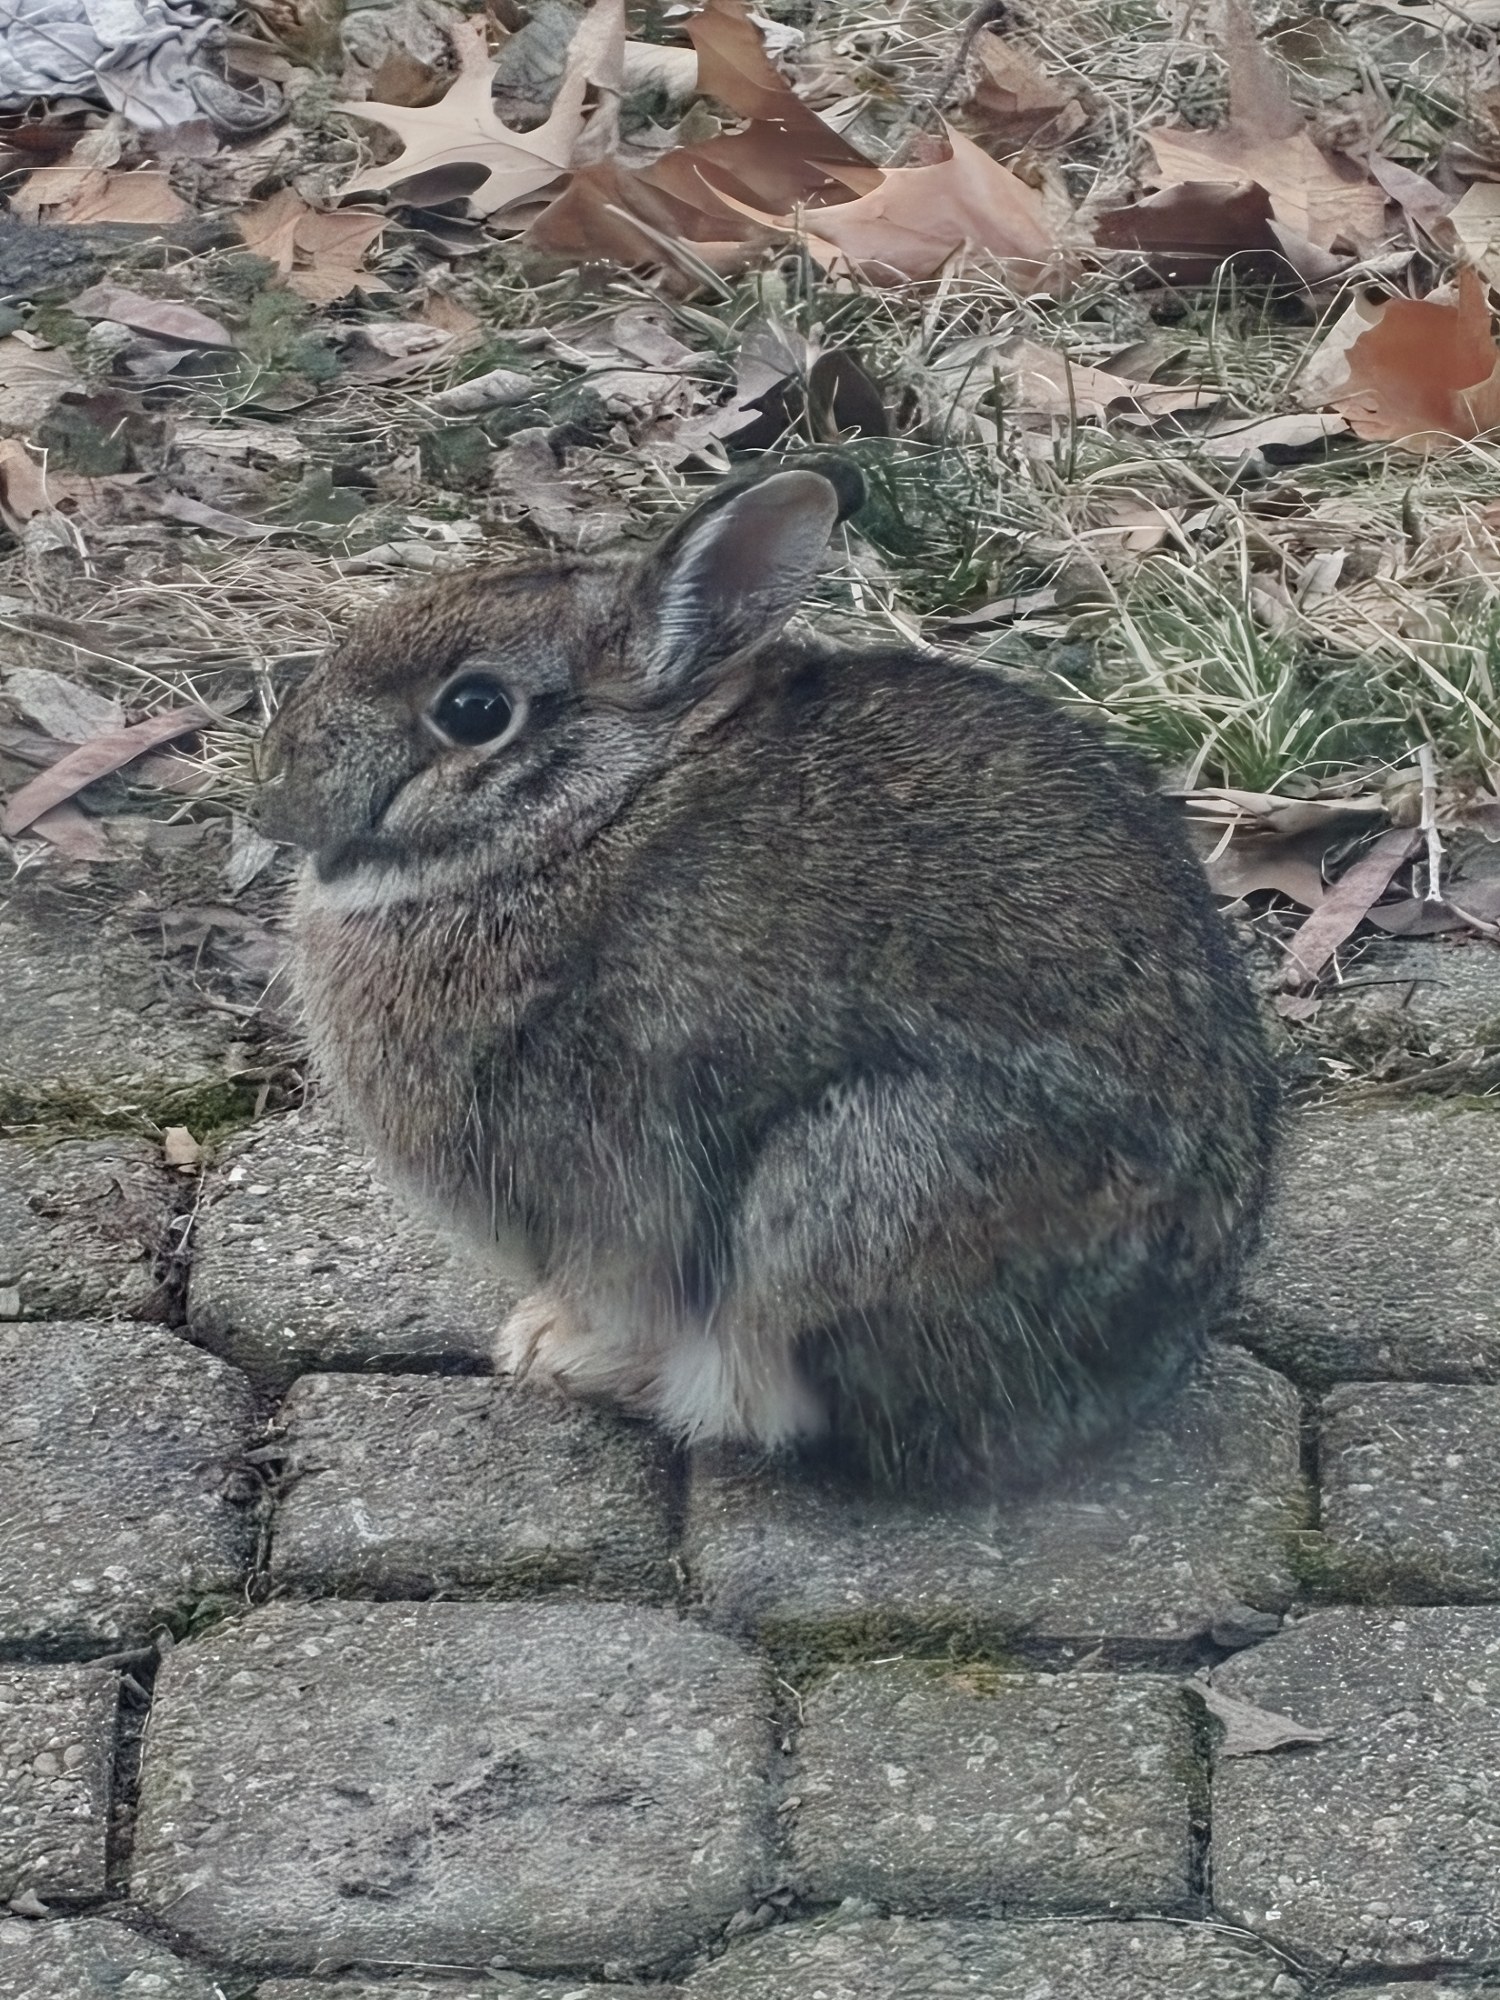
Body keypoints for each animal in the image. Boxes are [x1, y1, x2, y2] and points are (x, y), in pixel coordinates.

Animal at [258, 457, 1278, 1493]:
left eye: (474, 710)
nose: (275, 790)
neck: (585, 815)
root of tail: (1134, 1367)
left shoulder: (616, 1187)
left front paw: (555, 1351)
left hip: (859, 1171)